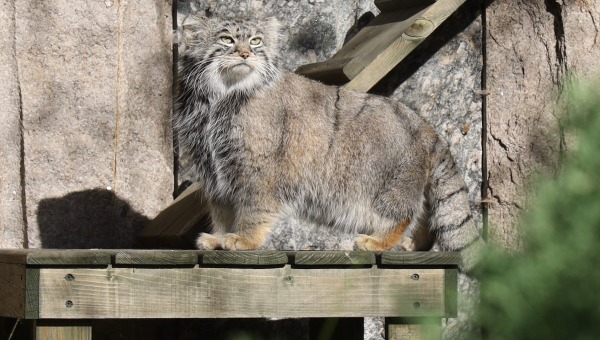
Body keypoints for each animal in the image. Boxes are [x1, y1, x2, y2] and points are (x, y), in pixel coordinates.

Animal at [175, 14, 482, 270]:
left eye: (255, 41)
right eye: (226, 39)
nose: (245, 53)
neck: (220, 99)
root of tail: (427, 127)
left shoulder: (257, 171)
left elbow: (253, 209)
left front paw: (245, 239)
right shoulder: (215, 171)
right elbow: (222, 212)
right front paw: (219, 237)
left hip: (386, 189)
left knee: (403, 215)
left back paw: (378, 241)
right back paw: (410, 245)